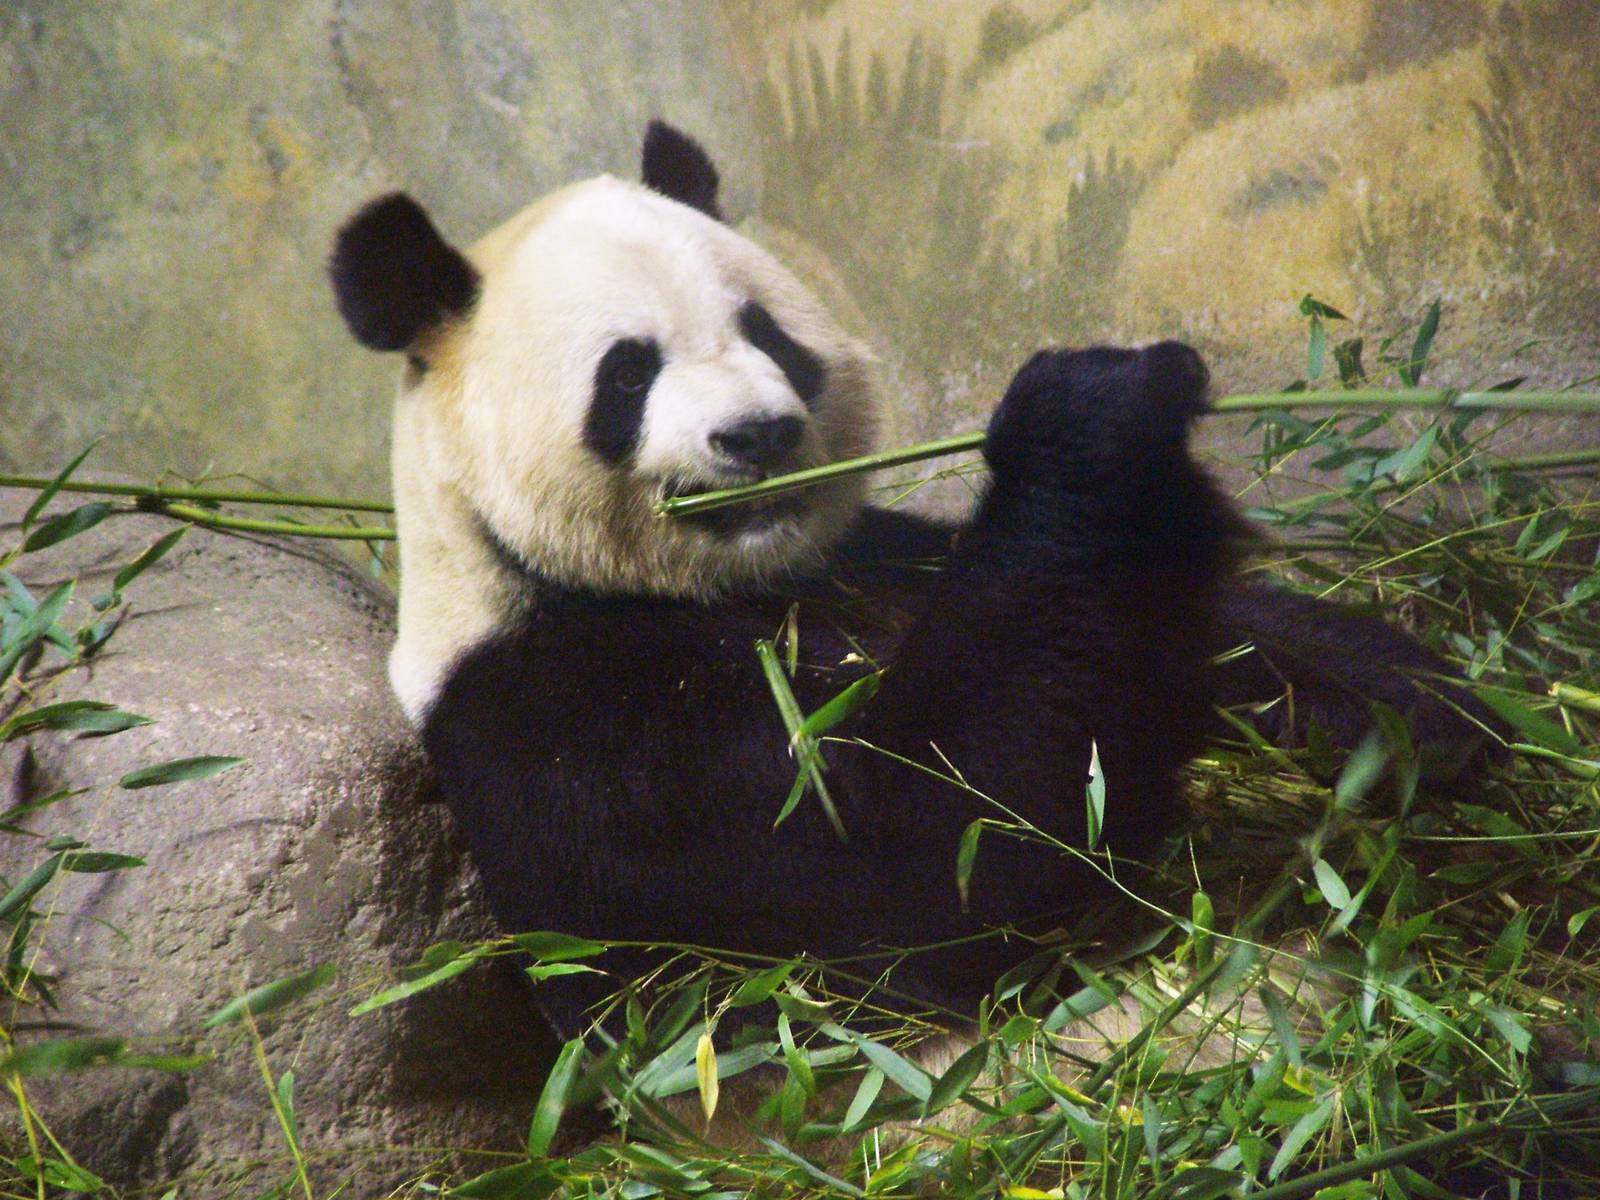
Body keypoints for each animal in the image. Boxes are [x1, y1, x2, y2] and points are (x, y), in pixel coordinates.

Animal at [329, 123, 1488, 1045]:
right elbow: (930, 861)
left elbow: (1181, 635)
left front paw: (1415, 706)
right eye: (628, 372)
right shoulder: (574, 725)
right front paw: (1091, 403)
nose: (758, 434)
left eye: (766, 333)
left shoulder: (877, 559)